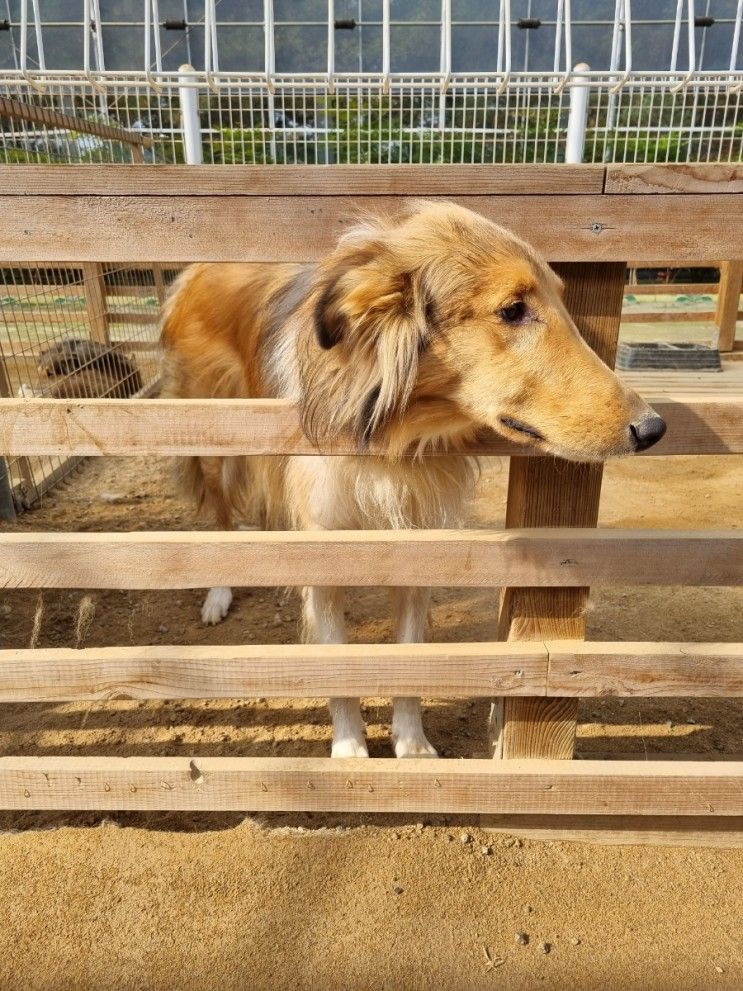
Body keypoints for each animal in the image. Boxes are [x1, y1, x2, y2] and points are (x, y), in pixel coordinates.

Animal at [163, 202, 668, 760]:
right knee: (220, 516)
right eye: (513, 310)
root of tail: (195, 269)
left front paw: (411, 747)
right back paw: (218, 594)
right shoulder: (323, 550)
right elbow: (335, 662)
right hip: (216, 441)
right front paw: (350, 751)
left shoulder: (415, 542)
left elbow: (408, 659)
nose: (653, 429)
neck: (394, 436)